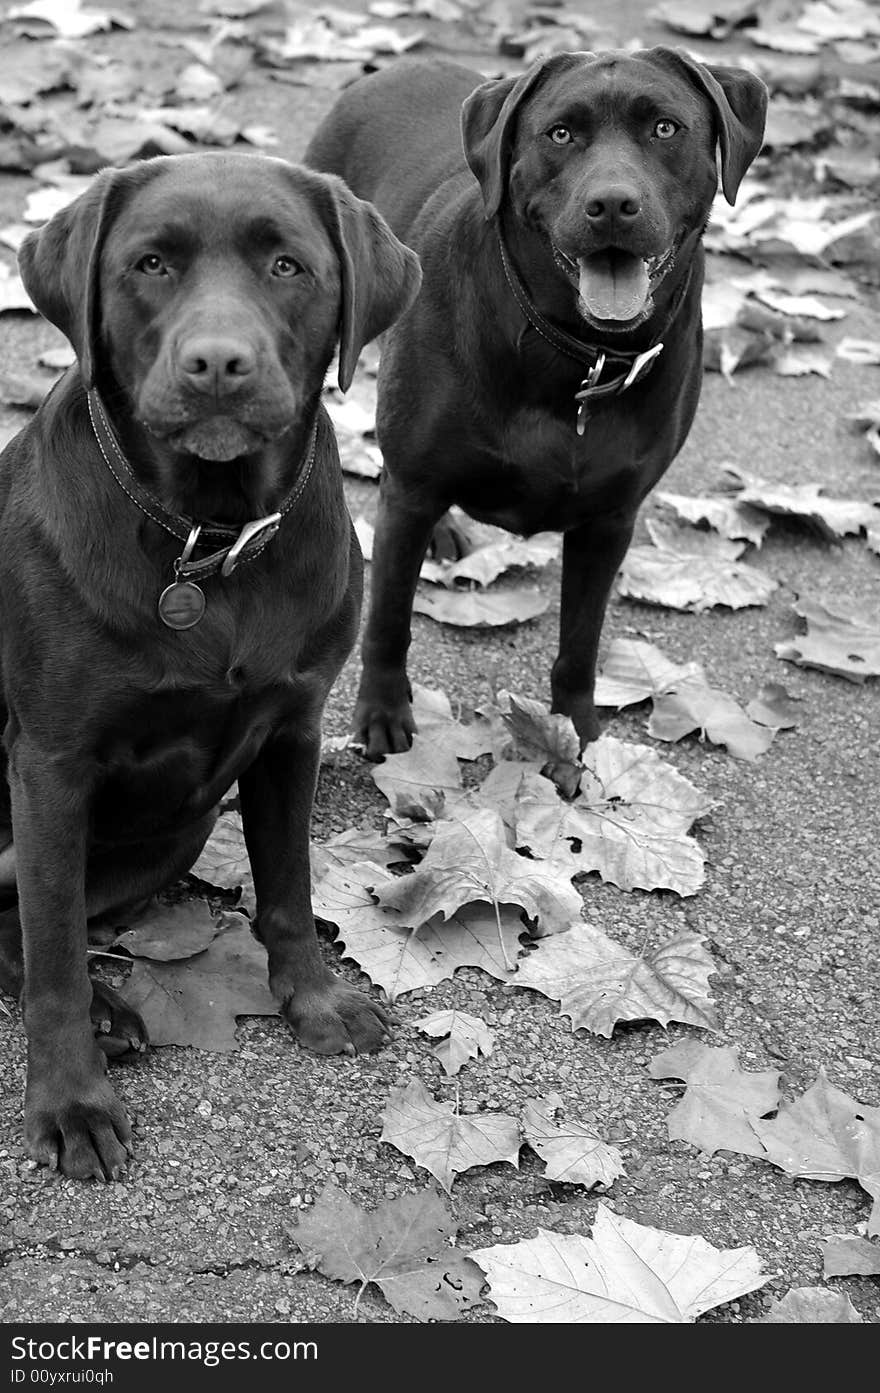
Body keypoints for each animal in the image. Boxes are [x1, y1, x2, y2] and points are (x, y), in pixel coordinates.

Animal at [0, 149, 423, 1175]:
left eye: (288, 266)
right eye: (150, 263)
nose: (219, 363)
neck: (209, 537)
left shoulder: (292, 730)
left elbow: (290, 888)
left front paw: (315, 999)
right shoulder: (51, 767)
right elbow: (56, 952)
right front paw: (70, 1101)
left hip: (173, 834)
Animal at [306, 49, 768, 757]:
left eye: (665, 128)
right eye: (561, 133)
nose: (613, 204)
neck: (575, 352)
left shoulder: (610, 522)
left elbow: (579, 643)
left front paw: (576, 739)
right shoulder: (411, 493)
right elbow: (388, 617)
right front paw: (382, 713)